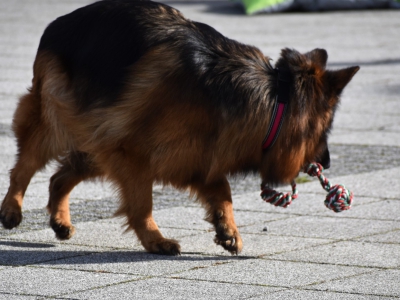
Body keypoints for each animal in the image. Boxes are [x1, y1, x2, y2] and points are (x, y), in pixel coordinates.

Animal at [0, 0, 360, 255]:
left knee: (59, 178)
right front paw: (154, 240)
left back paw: (60, 220)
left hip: (98, 139)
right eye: (325, 131)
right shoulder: (132, 154)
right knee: (24, 167)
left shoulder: (202, 156)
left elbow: (222, 192)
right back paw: (12, 209)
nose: (327, 162)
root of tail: (57, 24)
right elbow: (142, 204)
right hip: (58, 125)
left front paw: (227, 229)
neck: (272, 98)